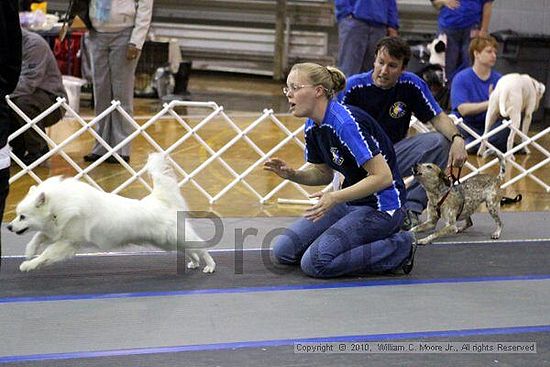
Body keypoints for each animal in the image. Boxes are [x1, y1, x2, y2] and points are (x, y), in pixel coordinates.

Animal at [9, 153, 216, 274]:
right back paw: (194, 263)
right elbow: (38, 237)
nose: (9, 227)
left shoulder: (68, 242)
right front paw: (29, 252)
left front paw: (29, 265)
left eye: (22, 216)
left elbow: (46, 253)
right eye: (17, 214)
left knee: (200, 247)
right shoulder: (55, 232)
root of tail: (159, 200)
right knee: (190, 250)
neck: (57, 208)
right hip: (167, 242)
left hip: (174, 236)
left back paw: (210, 266)